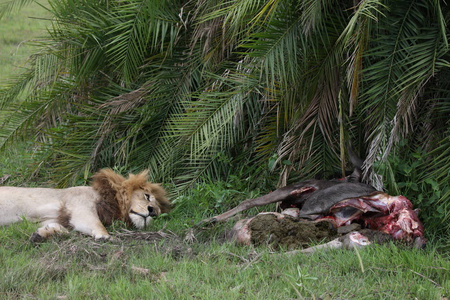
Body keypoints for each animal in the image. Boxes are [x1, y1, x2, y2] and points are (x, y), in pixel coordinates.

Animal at [0, 169, 171, 241]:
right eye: (147, 196)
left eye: (158, 212)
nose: (152, 212)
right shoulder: (80, 206)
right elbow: (96, 224)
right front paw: (105, 236)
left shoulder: (59, 219)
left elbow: (63, 231)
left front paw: (41, 234)